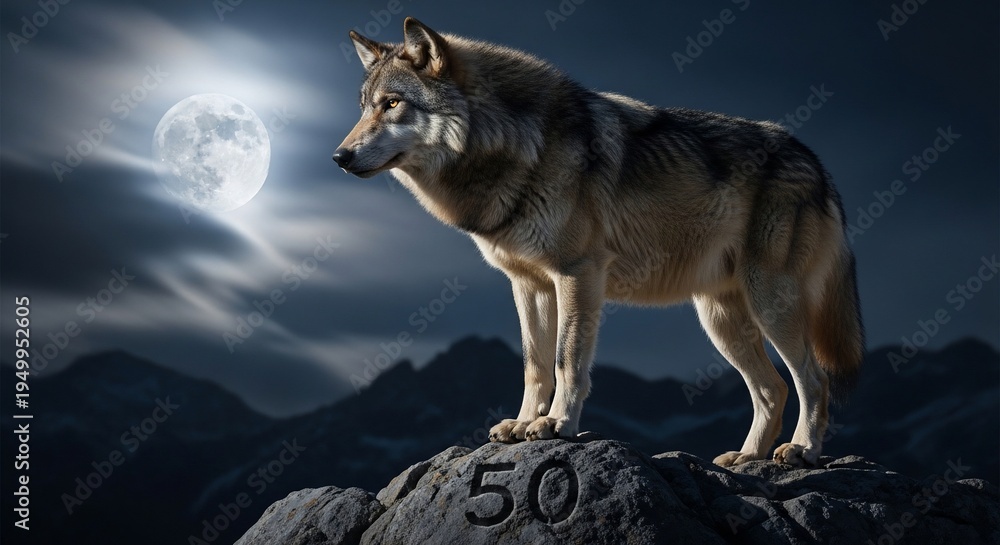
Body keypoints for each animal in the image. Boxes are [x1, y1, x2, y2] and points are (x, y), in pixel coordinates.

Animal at [333, 17, 864, 467]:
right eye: (363, 107)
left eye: (392, 104)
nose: (339, 156)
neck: (517, 146)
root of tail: (817, 163)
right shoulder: (528, 285)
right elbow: (534, 364)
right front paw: (523, 423)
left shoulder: (576, 273)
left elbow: (567, 359)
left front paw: (557, 425)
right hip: (719, 319)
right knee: (773, 389)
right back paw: (748, 457)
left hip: (769, 304)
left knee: (813, 381)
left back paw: (803, 451)